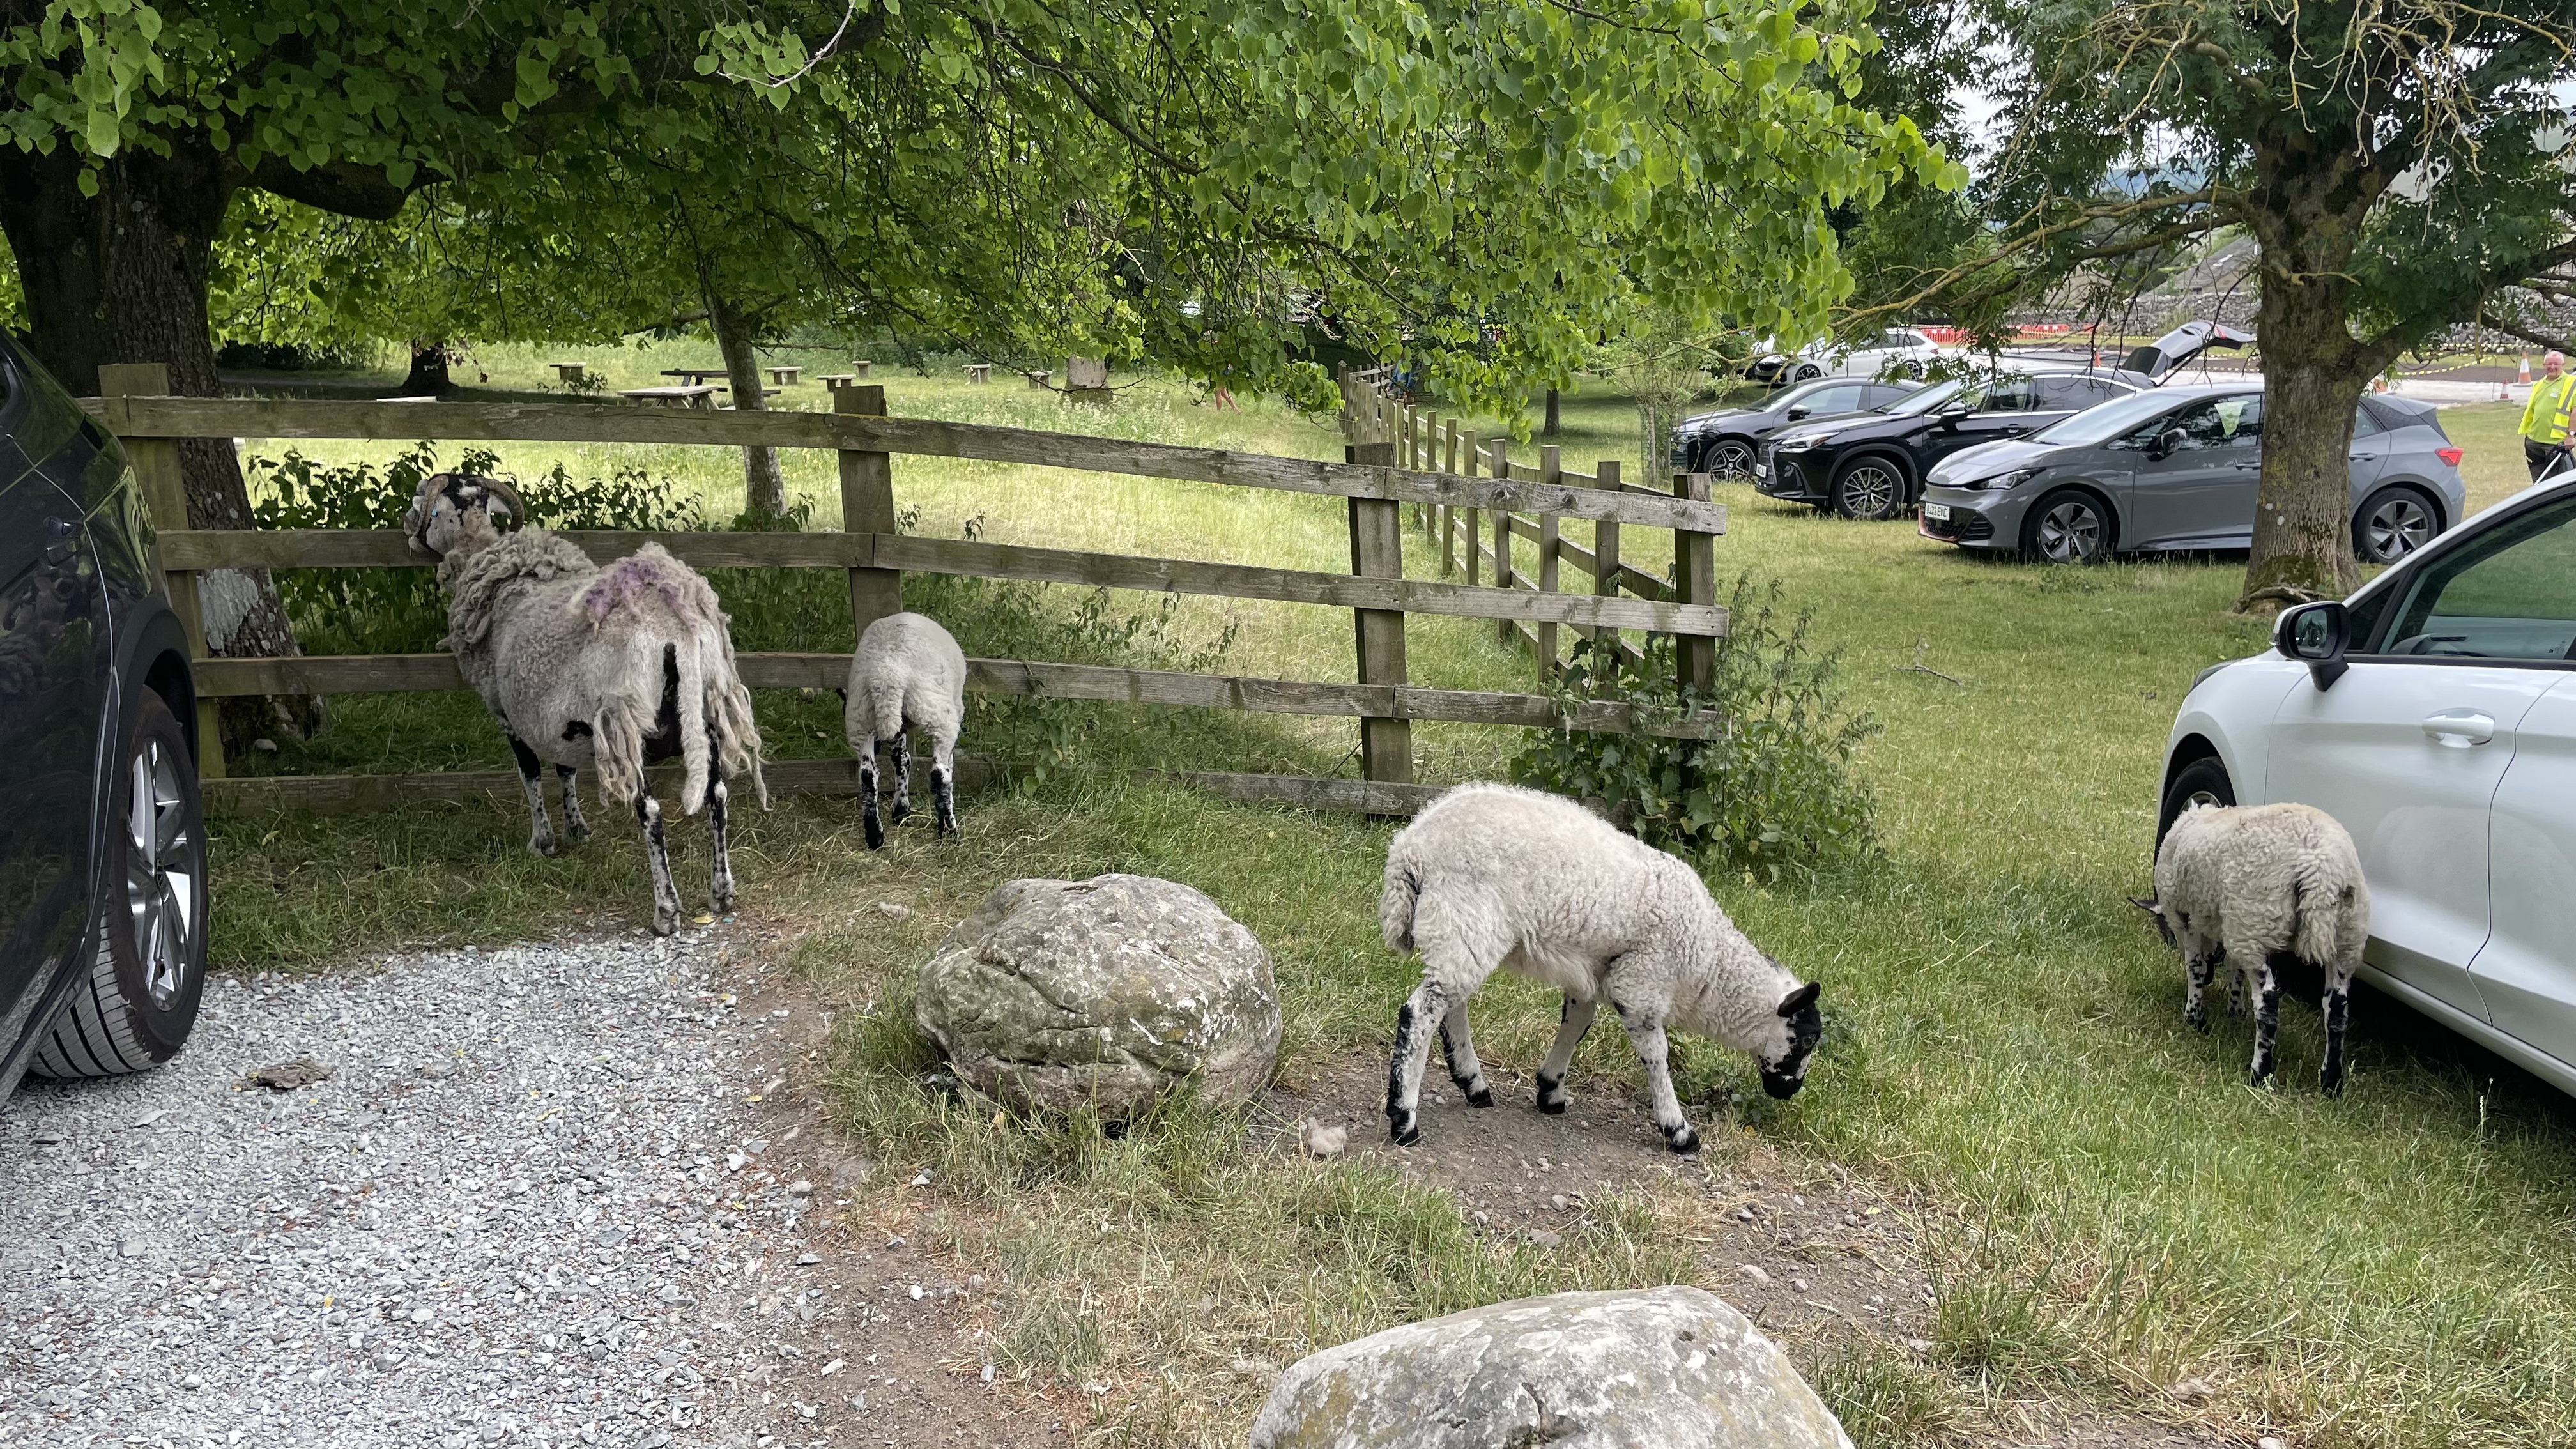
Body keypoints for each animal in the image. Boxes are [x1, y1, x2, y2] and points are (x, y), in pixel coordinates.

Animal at [401, 469, 762, 928]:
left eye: (424, 504)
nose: (407, 529)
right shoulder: (558, 718)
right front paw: (577, 829)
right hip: (708, 711)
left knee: (651, 813)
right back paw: (721, 893)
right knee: (717, 796)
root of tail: (675, 627)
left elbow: (530, 773)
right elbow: (565, 769)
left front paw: (543, 841)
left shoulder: (508, 713)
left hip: (629, 723)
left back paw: (666, 910)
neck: (485, 557)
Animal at [845, 608, 969, 845]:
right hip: (939, 716)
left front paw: (901, 809)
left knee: (867, 776)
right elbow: (946, 768)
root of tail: (887, 678)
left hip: (860, 718)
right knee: (939, 776)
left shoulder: (896, 728)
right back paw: (950, 832)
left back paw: (875, 836)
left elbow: (901, 760)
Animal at [1381, 778, 1823, 1149]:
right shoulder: (1641, 986)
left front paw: (1551, 1091)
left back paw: (1473, 1085)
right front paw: (1679, 1131)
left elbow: (1577, 1025)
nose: (1790, 1092)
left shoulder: (1591, 975)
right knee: (1421, 1013)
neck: (1706, 963)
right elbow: (1658, 1056)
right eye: (1805, 1041)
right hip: (1465, 918)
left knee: (1450, 1004)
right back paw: (1405, 1120)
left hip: (1462, 932)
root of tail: (1409, 850)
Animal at [2133, 793, 2370, 1088]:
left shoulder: (2188, 916)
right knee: (2336, 1006)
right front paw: (2235, 1010)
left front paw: (2195, 1017)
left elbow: (2195, 966)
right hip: (2346, 935)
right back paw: (2331, 1081)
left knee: (2268, 1001)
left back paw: (2260, 1072)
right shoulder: (2230, 924)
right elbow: (2233, 969)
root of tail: (2320, 870)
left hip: (2254, 920)